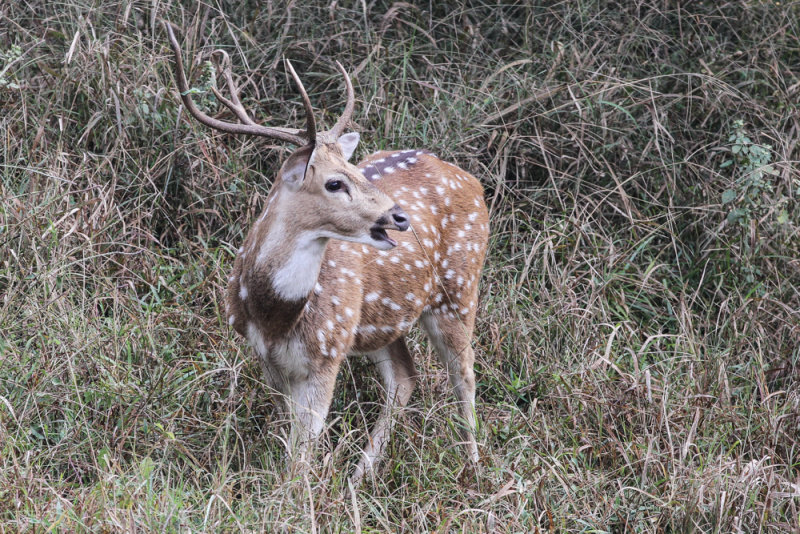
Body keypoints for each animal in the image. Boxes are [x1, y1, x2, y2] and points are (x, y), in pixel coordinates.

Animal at [166, 23, 490, 484]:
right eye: (336, 182)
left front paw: (298, 495)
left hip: (458, 288)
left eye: (354, 171)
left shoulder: (327, 353)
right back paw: (359, 477)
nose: (399, 216)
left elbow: (303, 451)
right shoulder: (269, 359)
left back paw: (473, 467)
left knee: (464, 374)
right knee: (405, 378)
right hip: (379, 321)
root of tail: (475, 183)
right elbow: (289, 440)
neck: (275, 315)